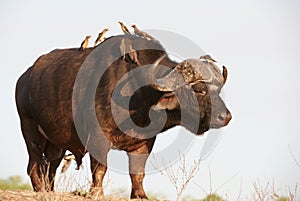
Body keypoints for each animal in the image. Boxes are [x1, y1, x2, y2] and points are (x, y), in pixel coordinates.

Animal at [15, 33, 232, 199]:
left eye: (218, 90)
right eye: (199, 90)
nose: (225, 117)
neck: (139, 95)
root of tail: (24, 78)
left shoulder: (144, 143)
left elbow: (137, 173)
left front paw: (140, 195)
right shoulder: (98, 138)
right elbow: (99, 169)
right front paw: (96, 193)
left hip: (56, 144)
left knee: (50, 168)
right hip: (30, 130)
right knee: (34, 166)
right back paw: (40, 190)